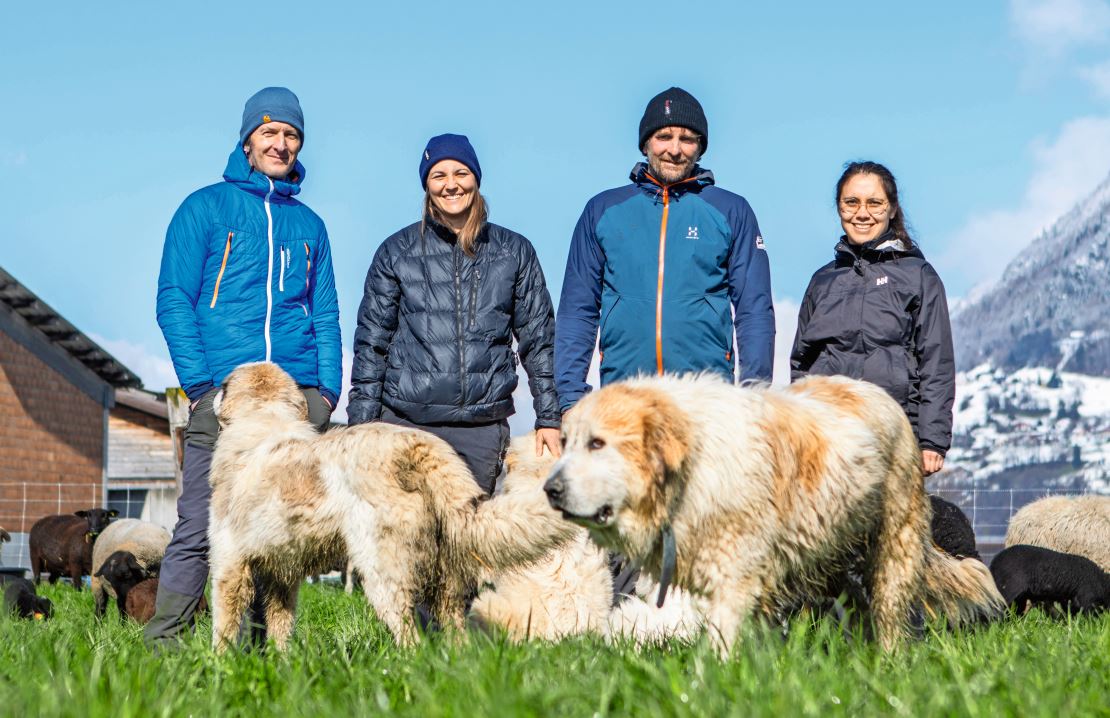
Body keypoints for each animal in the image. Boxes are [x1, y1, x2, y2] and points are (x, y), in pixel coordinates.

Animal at [206, 366, 572, 652]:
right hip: (447, 580)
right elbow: (280, 624)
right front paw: (282, 664)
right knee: (454, 631)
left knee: (411, 638)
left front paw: (220, 666)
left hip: (382, 573)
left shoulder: (229, 565)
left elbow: (224, 625)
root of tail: (416, 446)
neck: (263, 419)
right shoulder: (283, 574)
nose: (210, 394)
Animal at [546, 372, 1007, 652]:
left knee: (890, 611)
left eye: (597, 444)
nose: (551, 489)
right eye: (566, 443)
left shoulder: (735, 572)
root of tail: (872, 389)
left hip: (895, 544)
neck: (693, 463)